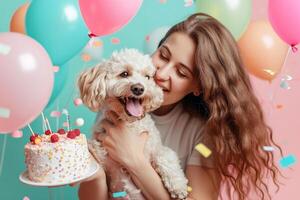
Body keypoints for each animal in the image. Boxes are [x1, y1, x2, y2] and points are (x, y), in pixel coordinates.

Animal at [78, 48, 189, 200]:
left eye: (147, 77)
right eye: (124, 74)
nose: (138, 88)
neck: (129, 124)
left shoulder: (156, 148)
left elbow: (166, 157)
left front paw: (178, 186)